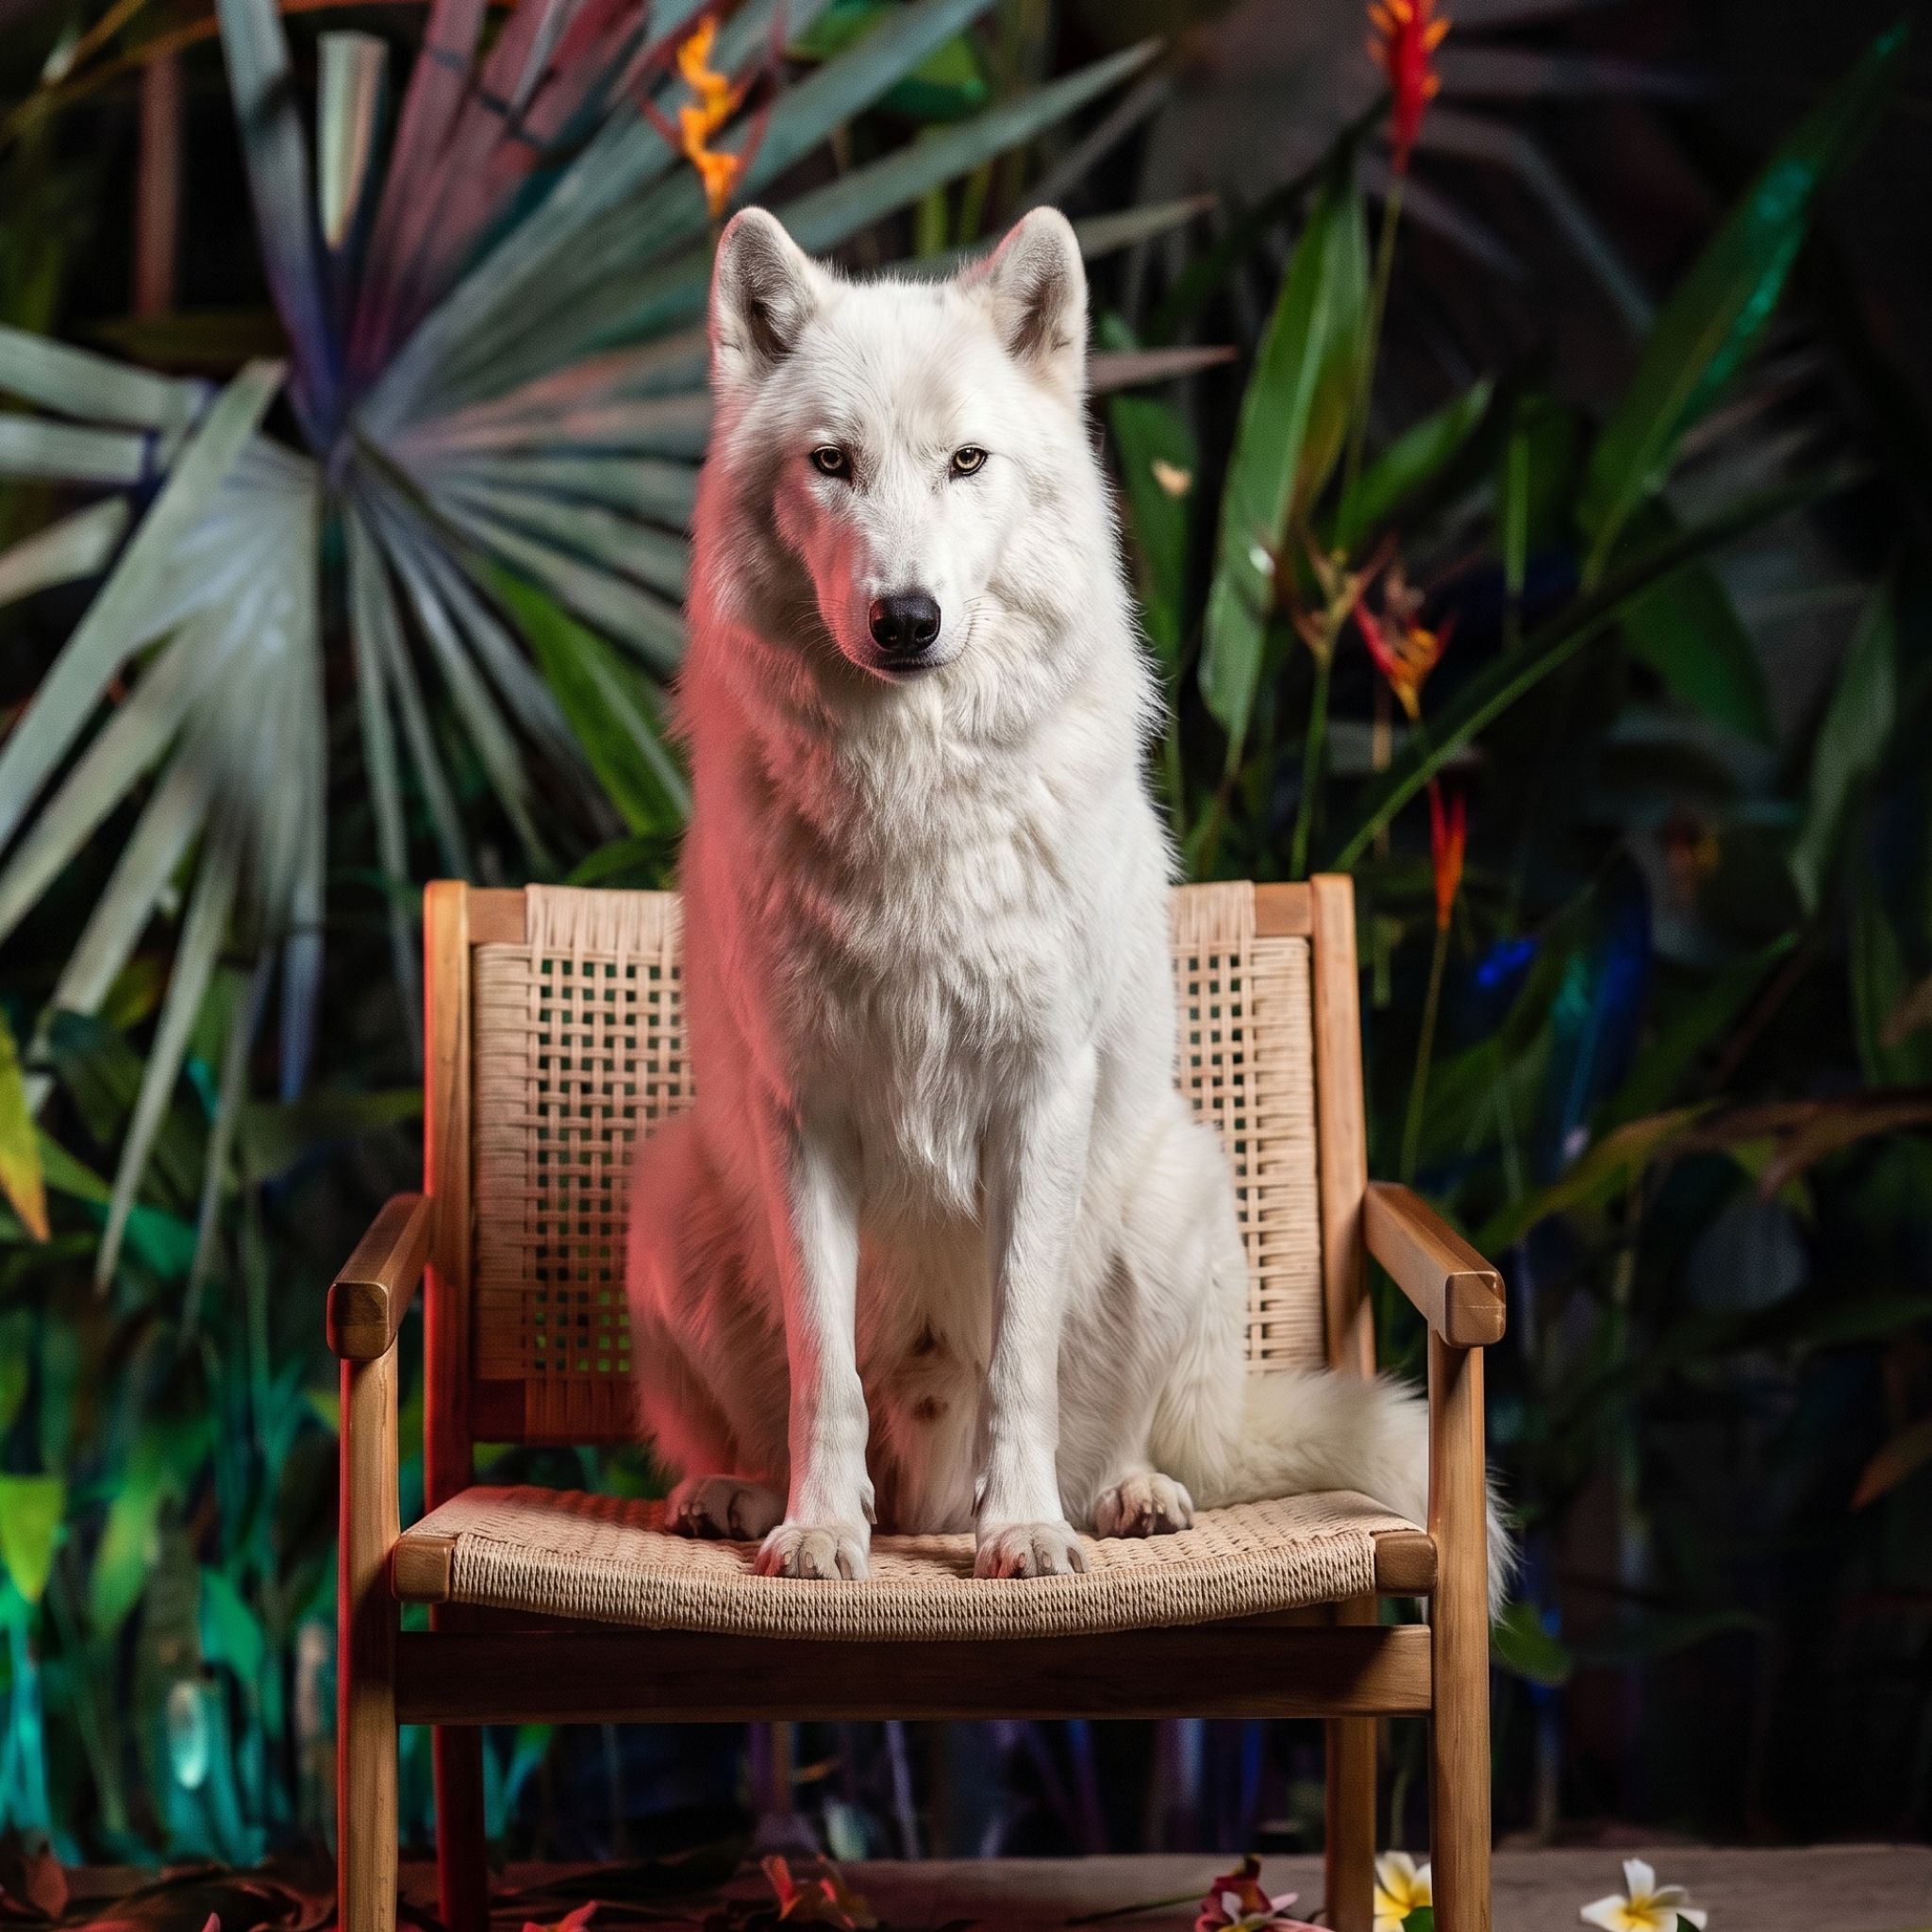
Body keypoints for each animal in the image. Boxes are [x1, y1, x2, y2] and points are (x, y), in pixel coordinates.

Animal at [626, 204, 1506, 1598]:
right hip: (670, 1192)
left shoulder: (1039, 1097)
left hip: (1180, 1186)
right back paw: (738, 1495)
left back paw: (1122, 1499)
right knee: (754, 1427)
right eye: (833, 463)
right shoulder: (802, 1112)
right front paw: (820, 1532)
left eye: (967, 461)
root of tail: (924, 1492)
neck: (917, 794)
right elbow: (826, 1372)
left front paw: (1024, 1532)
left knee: (1126, 1434)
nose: (907, 617)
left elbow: (1019, 1362)